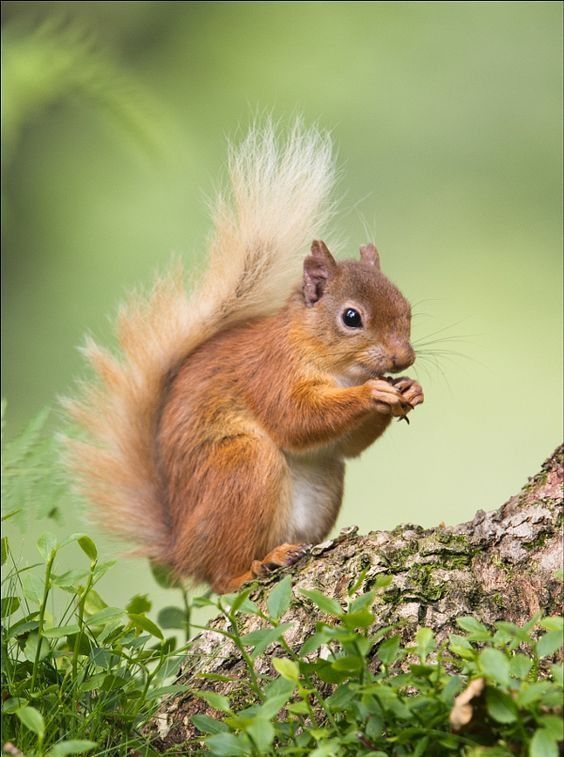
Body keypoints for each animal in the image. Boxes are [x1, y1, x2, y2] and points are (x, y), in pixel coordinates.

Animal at [63, 123, 423, 594]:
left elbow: (347, 445)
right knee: (221, 579)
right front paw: (373, 393)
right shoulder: (268, 373)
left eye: (407, 307)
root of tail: (182, 552)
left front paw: (409, 391)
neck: (336, 368)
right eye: (351, 317)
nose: (404, 358)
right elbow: (295, 418)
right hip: (242, 467)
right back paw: (257, 565)